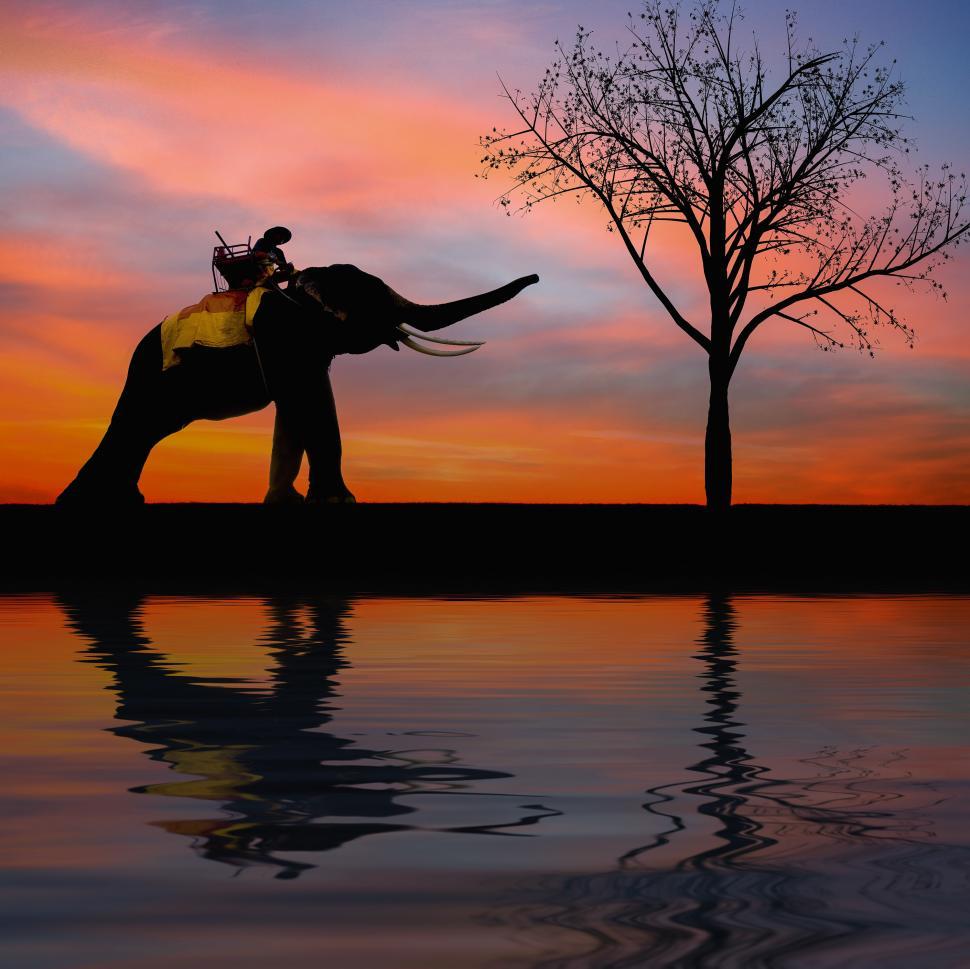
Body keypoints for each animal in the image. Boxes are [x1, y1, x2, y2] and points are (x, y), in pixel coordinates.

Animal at [55, 265, 539, 506]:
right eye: (374, 299)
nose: (535, 278)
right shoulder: (284, 336)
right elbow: (309, 402)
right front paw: (337, 503)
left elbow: (302, 404)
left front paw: (286, 503)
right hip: (151, 371)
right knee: (135, 423)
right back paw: (87, 503)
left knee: (148, 428)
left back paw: (113, 501)